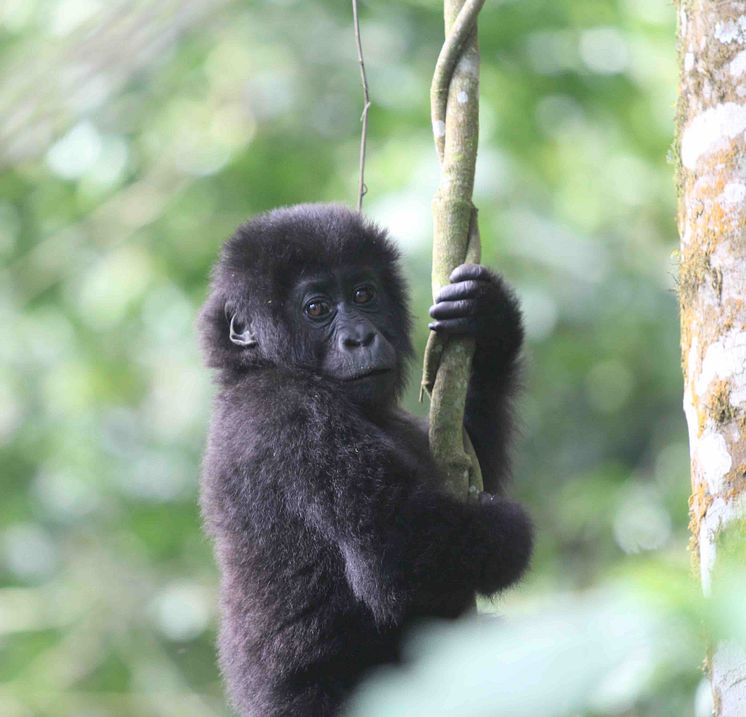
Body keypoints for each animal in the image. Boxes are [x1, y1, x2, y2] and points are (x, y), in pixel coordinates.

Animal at [198, 203, 528, 716]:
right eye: (316, 309)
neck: (256, 368)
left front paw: (489, 321)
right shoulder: (290, 415)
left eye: (363, 294)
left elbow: (469, 462)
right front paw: (510, 535)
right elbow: (396, 552)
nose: (359, 338)